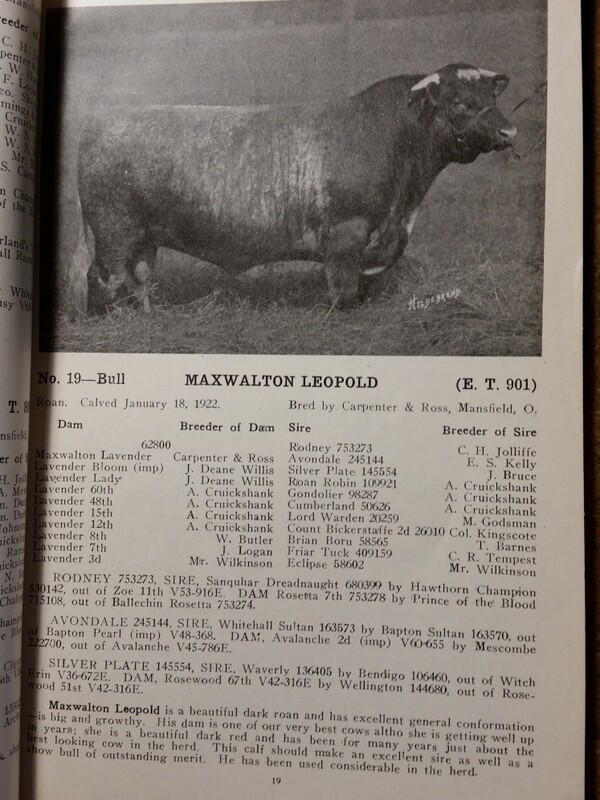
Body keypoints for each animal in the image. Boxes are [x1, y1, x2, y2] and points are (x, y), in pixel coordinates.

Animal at [76, 63, 516, 313]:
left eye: (490, 96)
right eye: (458, 101)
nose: (509, 131)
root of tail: (99, 121)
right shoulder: (346, 233)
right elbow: (343, 289)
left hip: (142, 236)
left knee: (138, 275)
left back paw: (146, 316)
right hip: (114, 231)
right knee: (102, 278)